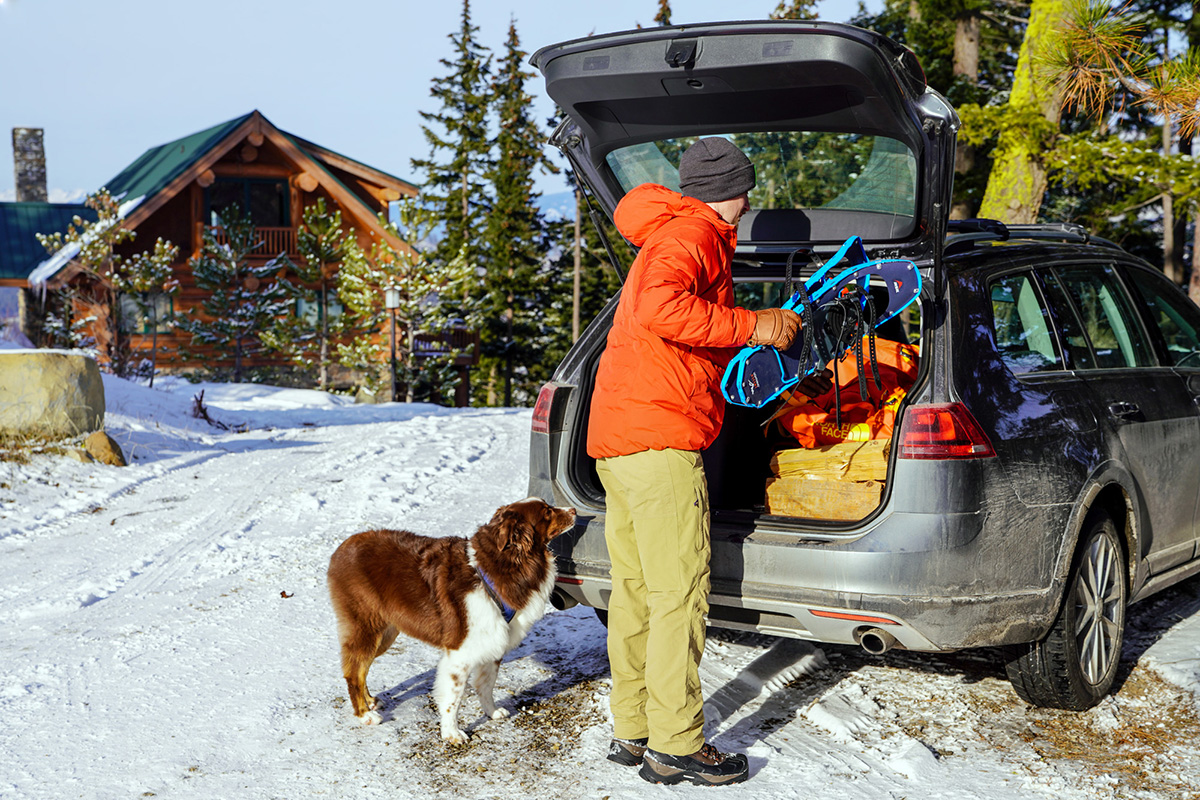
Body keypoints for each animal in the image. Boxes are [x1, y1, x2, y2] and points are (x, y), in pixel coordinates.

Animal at [326, 494, 573, 743]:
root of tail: (341, 548)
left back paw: (369, 701)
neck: (504, 564)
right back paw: (364, 714)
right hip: (367, 627)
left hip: (386, 633)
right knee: (353, 672)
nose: (573, 510)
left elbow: (487, 684)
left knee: (361, 669)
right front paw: (451, 732)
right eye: (547, 512)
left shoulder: (495, 640)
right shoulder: (459, 653)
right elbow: (453, 698)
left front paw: (491, 712)